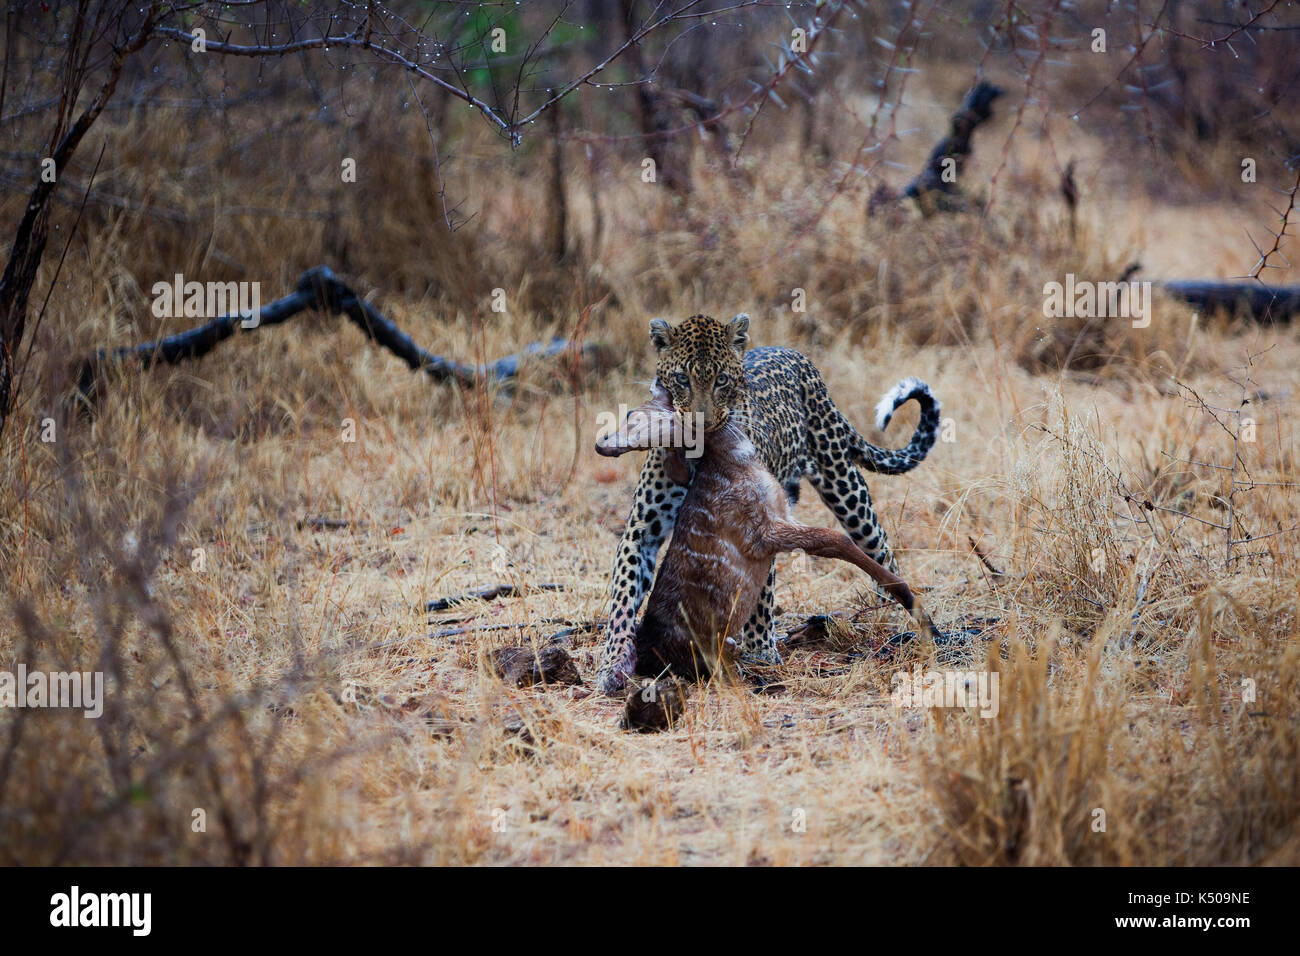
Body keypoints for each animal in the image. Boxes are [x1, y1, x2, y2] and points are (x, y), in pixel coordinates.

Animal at [595, 312, 941, 697]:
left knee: (879, 546)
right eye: (682, 378)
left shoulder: (763, 526)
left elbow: (763, 594)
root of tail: (793, 353)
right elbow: (623, 597)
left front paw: (761, 649)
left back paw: (888, 611)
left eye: (722, 380)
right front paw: (613, 663)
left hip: (844, 485)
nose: (701, 421)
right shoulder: (643, 531)